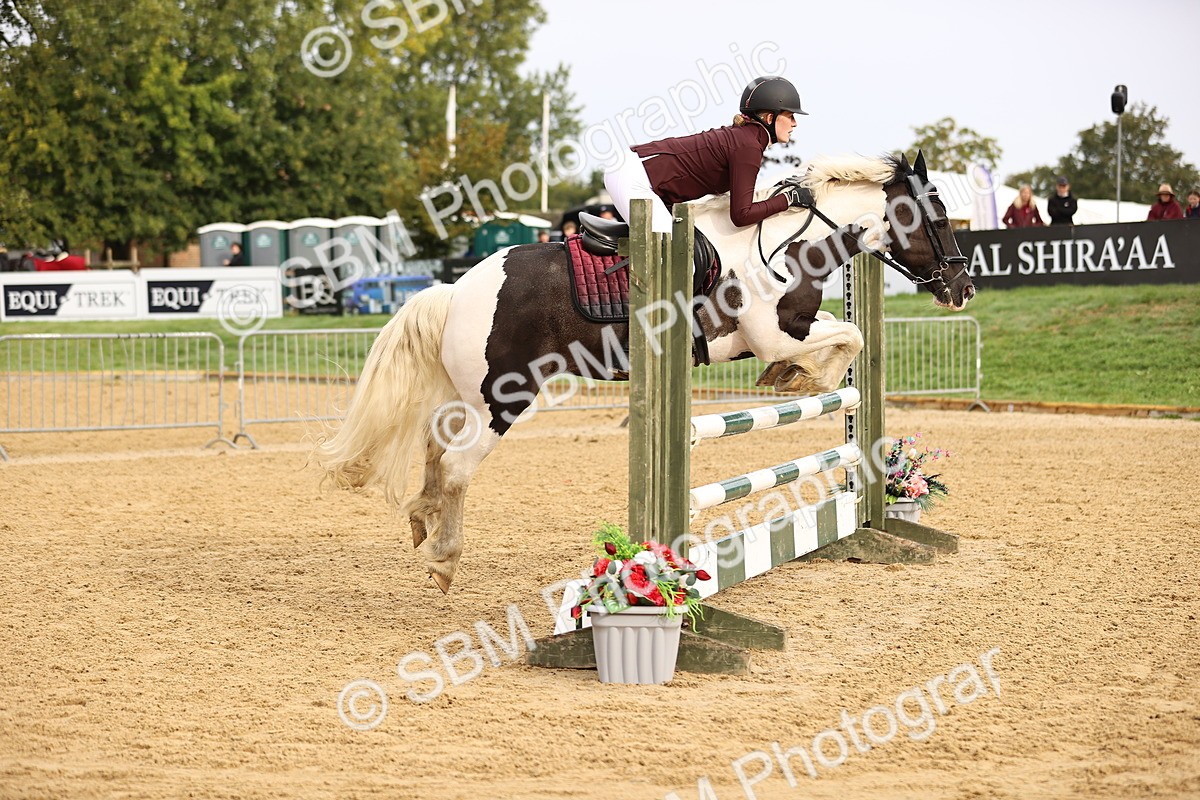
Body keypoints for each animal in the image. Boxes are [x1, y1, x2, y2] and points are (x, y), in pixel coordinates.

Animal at [315, 151, 974, 591]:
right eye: (939, 218)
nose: (963, 289)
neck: (793, 243)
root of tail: (455, 289)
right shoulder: (770, 331)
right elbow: (848, 337)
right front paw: (800, 378)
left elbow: (844, 335)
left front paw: (792, 378)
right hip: (506, 396)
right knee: (456, 464)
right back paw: (444, 560)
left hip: (469, 392)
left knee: (433, 446)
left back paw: (422, 521)